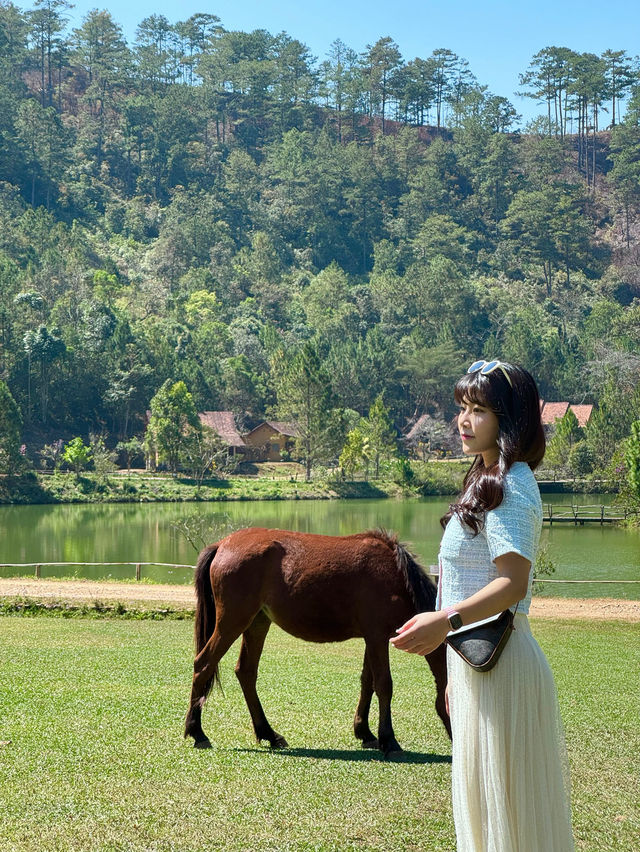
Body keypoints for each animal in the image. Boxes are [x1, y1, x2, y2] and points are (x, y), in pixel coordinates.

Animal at [182, 524, 448, 760]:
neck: (394, 575)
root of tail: (222, 545)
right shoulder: (377, 637)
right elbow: (384, 685)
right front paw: (389, 741)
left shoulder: (371, 639)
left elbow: (367, 682)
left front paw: (365, 732)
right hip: (232, 622)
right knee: (204, 664)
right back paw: (197, 732)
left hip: (257, 623)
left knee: (246, 672)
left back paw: (268, 734)